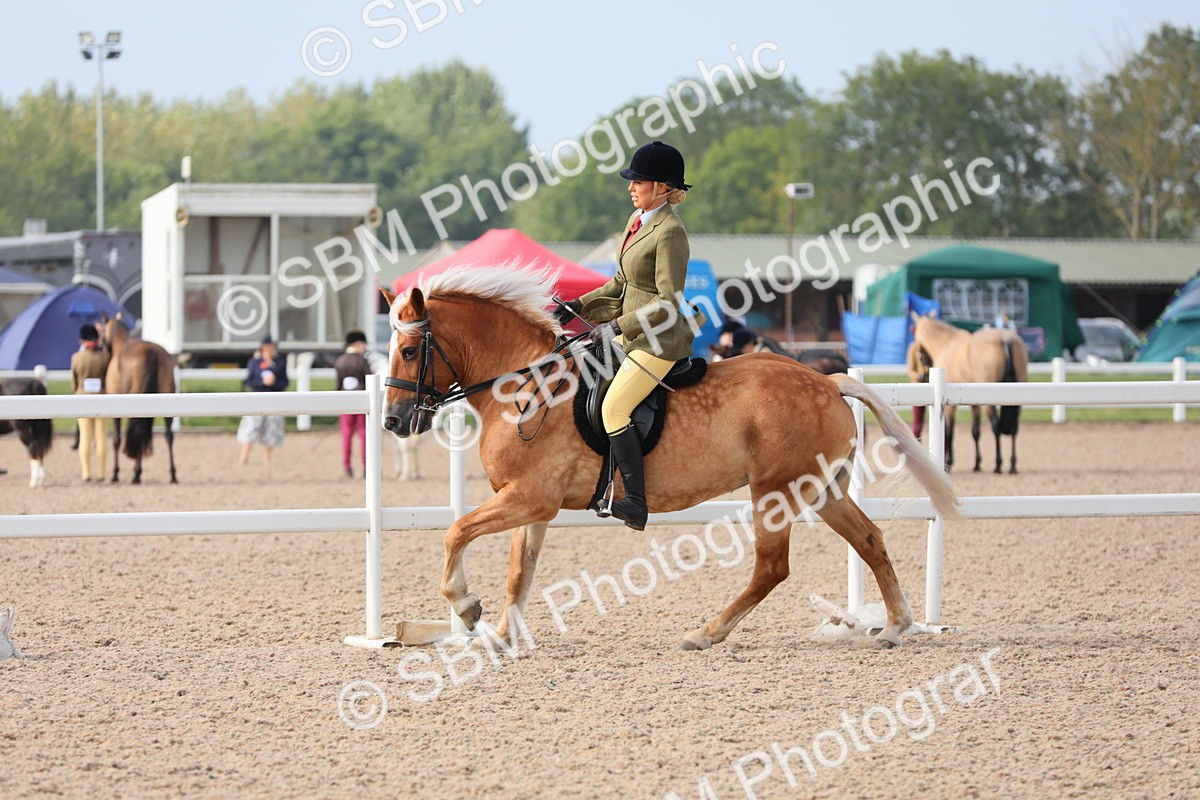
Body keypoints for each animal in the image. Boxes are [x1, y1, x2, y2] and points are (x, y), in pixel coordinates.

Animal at [102, 314, 179, 484]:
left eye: (101, 331)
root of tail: (150, 351)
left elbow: (116, 440)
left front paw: (116, 473)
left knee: (137, 433)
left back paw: (136, 474)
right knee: (169, 436)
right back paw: (172, 474)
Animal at [380, 267, 960, 650]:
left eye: (409, 351)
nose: (394, 422)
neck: (527, 386)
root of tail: (828, 380)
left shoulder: (530, 497)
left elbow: (455, 533)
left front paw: (465, 607)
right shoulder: (529, 505)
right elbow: (518, 572)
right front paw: (502, 638)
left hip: (774, 493)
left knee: (771, 567)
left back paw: (706, 633)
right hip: (821, 489)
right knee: (869, 540)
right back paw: (895, 626)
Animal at [909, 315, 1029, 474]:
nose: (923, 361)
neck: (946, 344)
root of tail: (1005, 339)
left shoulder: (950, 407)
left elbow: (950, 433)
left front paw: (949, 462)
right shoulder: (974, 404)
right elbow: (975, 432)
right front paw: (977, 463)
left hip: (989, 404)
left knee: (996, 427)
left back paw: (998, 464)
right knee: (1014, 429)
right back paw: (1013, 465)